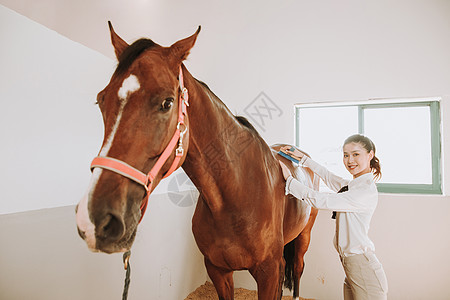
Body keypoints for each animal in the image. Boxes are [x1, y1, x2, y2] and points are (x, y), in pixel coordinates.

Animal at [74, 23, 320, 300]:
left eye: (167, 102)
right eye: (101, 100)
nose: (96, 218)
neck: (236, 197)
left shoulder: (269, 273)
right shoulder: (217, 270)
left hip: (304, 236)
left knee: (298, 267)